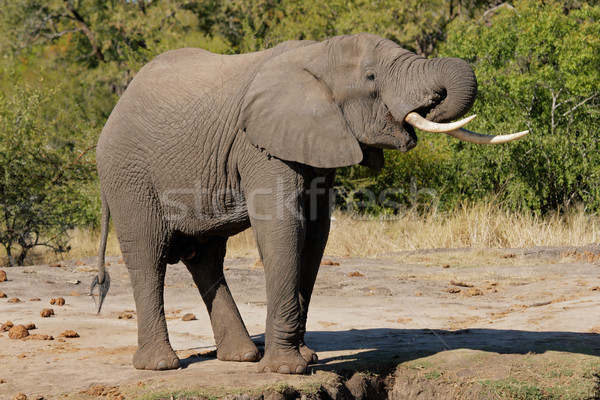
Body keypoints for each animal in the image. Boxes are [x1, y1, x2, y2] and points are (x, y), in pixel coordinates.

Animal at [92, 32, 524, 374]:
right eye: (371, 77)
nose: (433, 101)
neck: (317, 54)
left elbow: (316, 234)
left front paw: (306, 359)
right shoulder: (259, 144)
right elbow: (284, 227)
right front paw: (288, 370)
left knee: (206, 256)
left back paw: (242, 357)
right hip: (128, 176)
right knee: (149, 254)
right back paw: (162, 365)